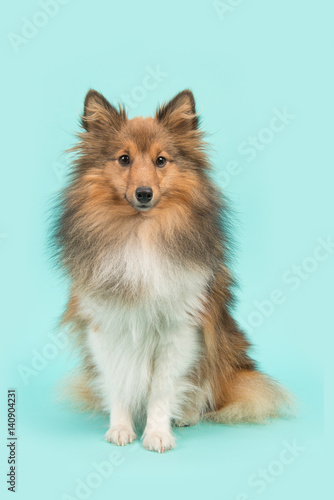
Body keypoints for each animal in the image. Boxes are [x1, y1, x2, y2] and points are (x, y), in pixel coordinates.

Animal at [51, 90, 292, 454]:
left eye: (161, 160)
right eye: (124, 159)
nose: (144, 194)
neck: (140, 233)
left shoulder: (180, 328)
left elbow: (162, 390)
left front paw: (157, 434)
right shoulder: (105, 326)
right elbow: (118, 383)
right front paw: (120, 429)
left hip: (224, 344)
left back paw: (189, 413)